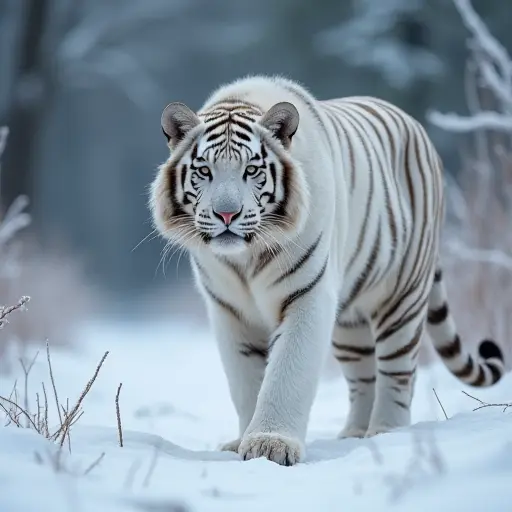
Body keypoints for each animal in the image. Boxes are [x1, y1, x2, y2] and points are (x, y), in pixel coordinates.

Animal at [150, 75, 506, 464]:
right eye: (204, 171)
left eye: (251, 171)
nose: (226, 214)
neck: (245, 259)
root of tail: (416, 126)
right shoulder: (229, 311)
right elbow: (245, 381)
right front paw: (242, 441)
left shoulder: (307, 295)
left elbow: (287, 372)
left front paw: (270, 445)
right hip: (349, 324)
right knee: (363, 376)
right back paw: (354, 435)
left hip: (402, 296)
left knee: (397, 372)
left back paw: (386, 433)